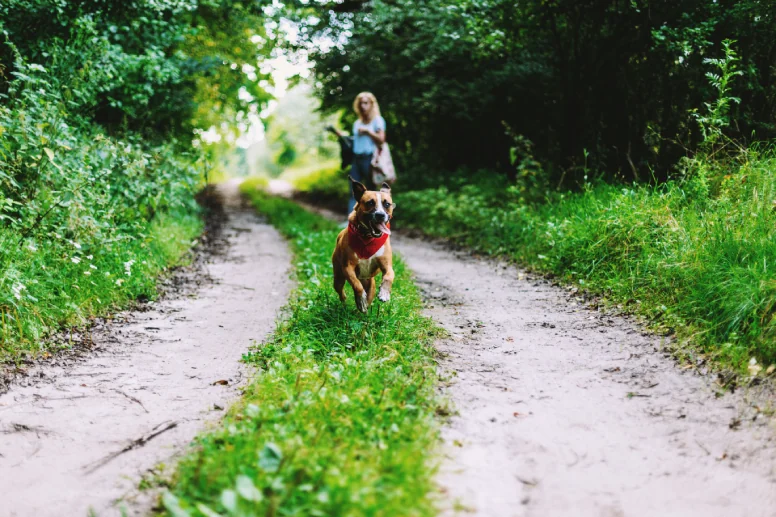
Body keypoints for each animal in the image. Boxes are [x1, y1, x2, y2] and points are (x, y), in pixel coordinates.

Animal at [332, 177, 398, 312]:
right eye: (370, 203)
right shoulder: (348, 267)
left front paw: (384, 293)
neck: (367, 238)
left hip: (370, 283)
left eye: (387, 204)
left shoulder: (386, 264)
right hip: (338, 277)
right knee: (340, 290)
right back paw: (346, 302)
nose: (380, 215)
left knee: (369, 296)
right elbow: (356, 285)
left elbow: (389, 275)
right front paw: (360, 297)